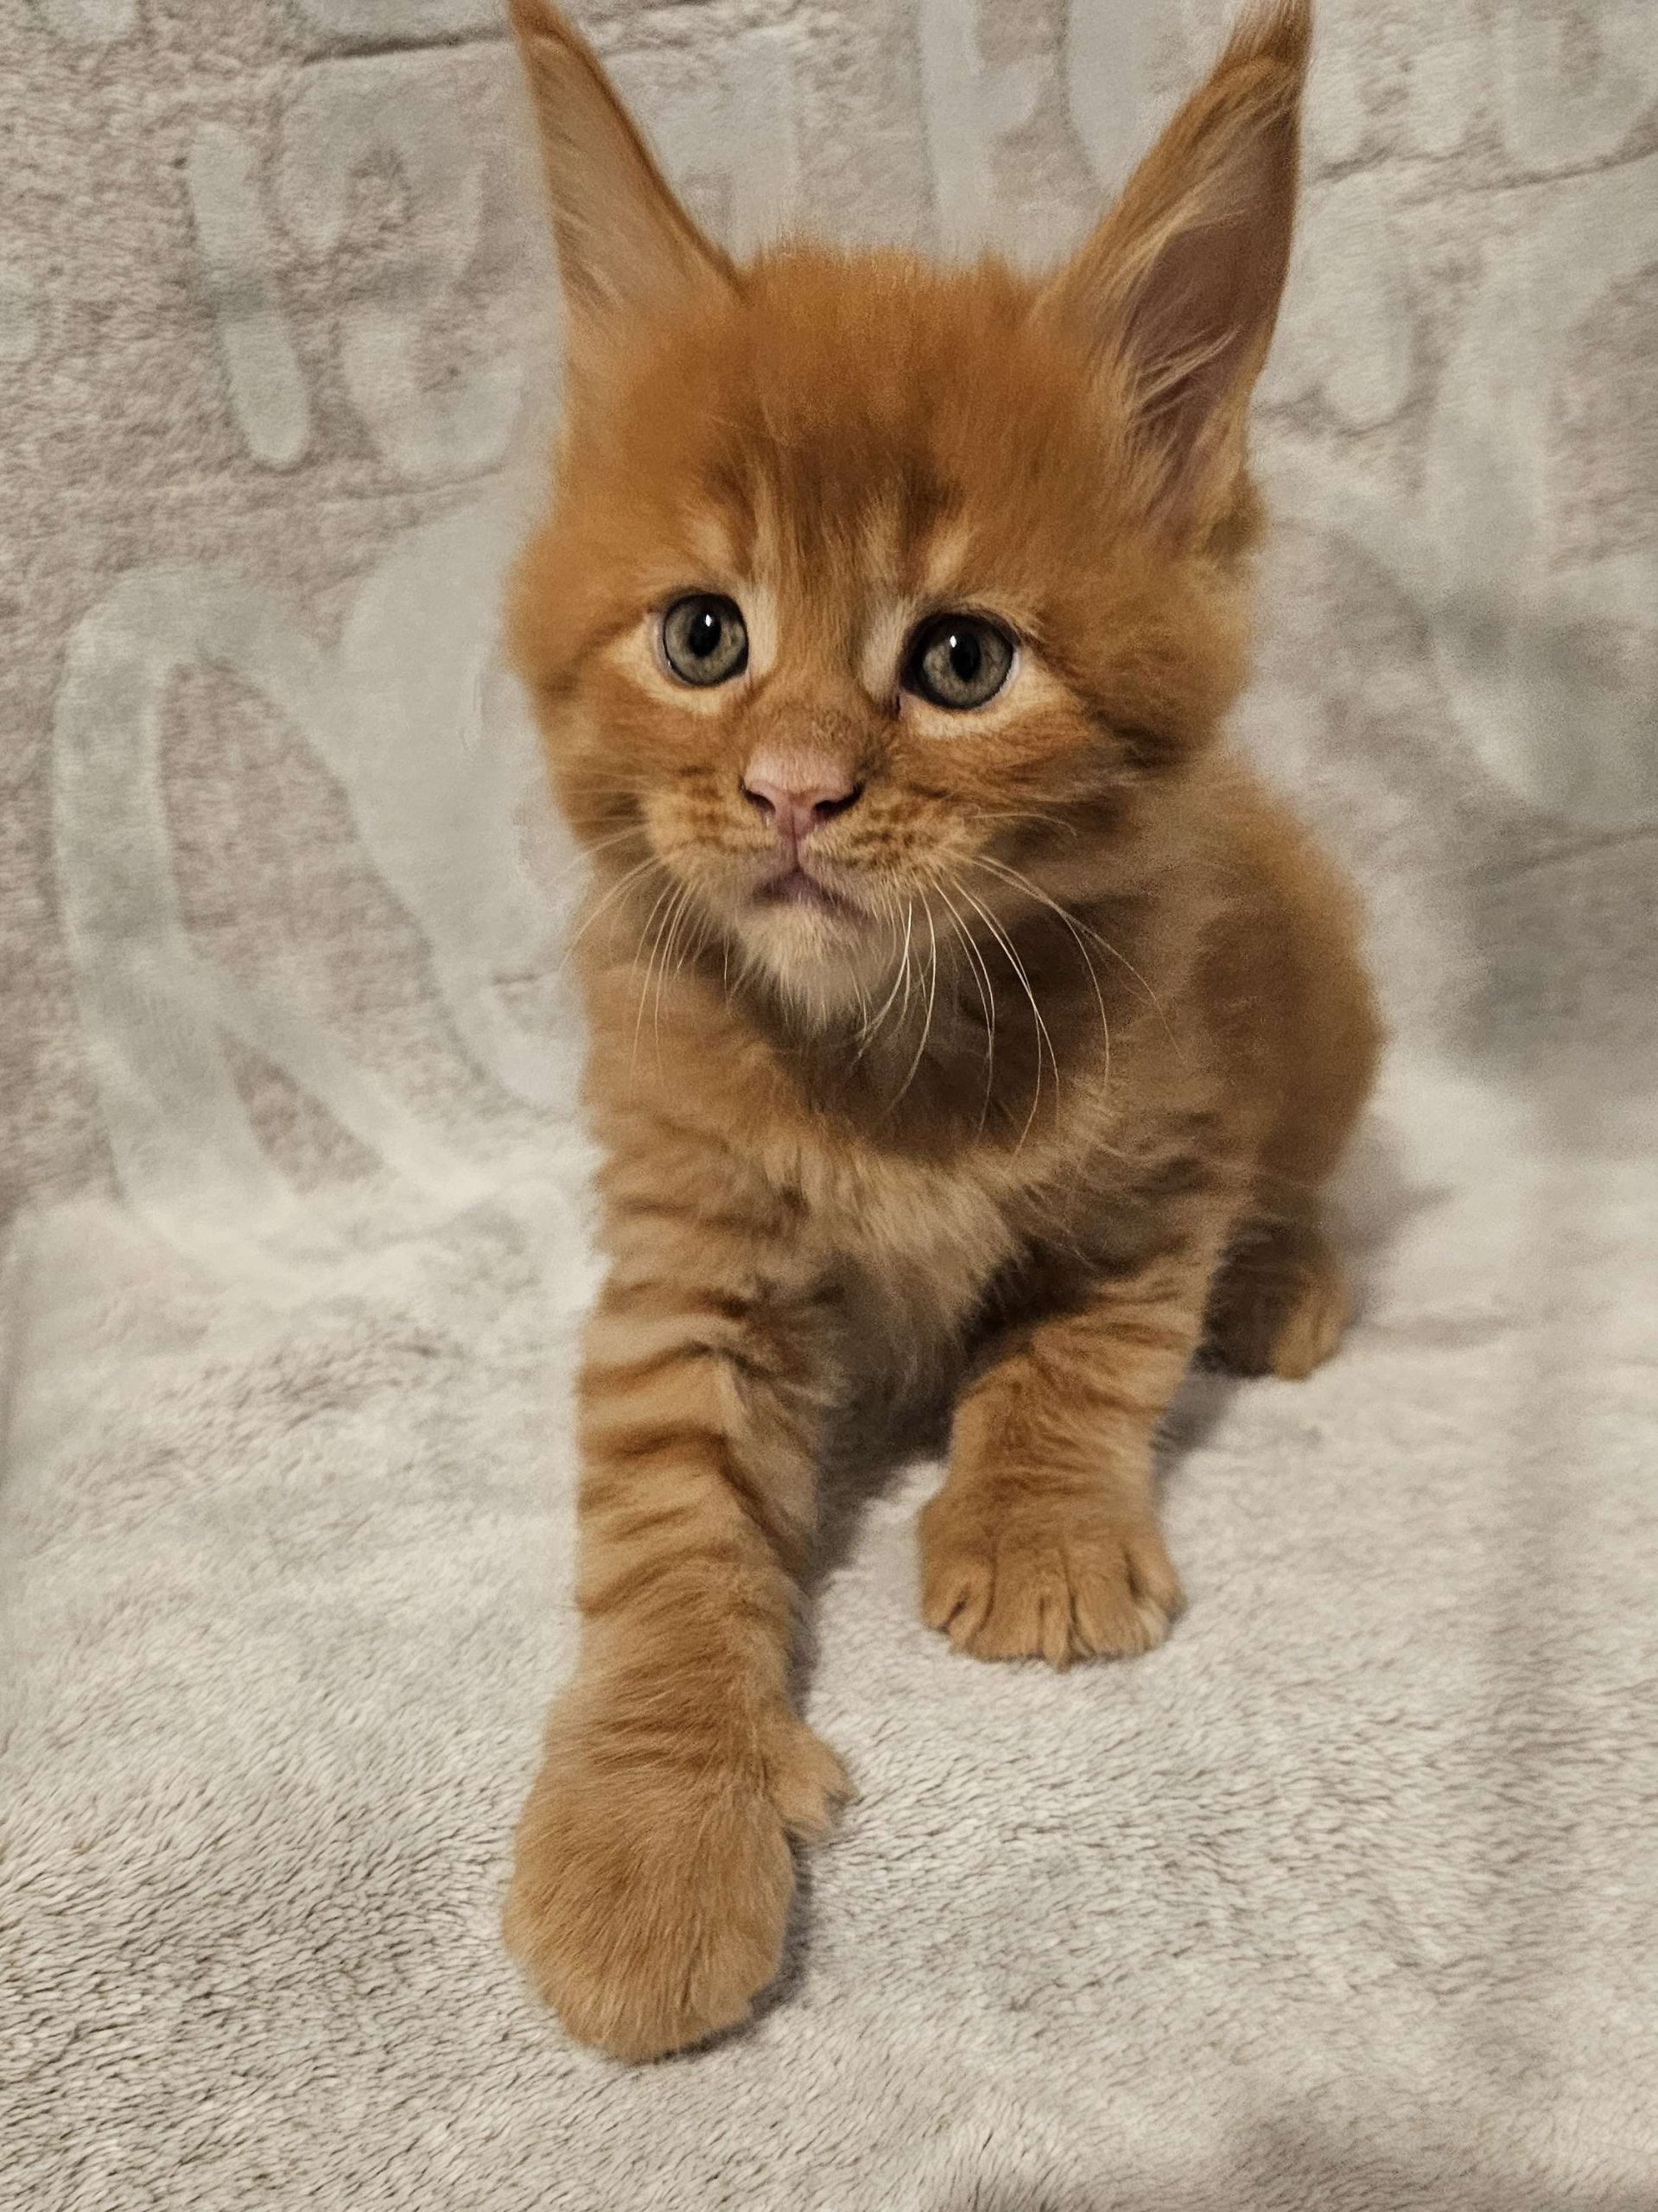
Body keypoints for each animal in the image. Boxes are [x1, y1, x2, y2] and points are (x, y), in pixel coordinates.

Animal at [501, 0, 1380, 2061]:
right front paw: (648, 1831)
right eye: (703, 637)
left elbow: (1080, 1350)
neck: (881, 1051)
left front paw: (1035, 1535)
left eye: (960, 661)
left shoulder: (1159, 1152)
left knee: (1293, 1179)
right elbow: (663, 1525)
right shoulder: (683, 1253)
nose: (793, 793)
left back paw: (1284, 1282)